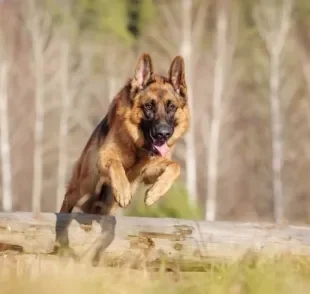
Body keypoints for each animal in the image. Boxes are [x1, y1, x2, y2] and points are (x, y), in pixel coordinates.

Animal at [55, 52, 190, 248]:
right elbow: (116, 164)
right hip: (83, 186)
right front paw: (123, 190)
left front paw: (154, 194)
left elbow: (175, 167)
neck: (138, 148)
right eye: (149, 106)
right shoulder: (105, 156)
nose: (163, 134)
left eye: (171, 107)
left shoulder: (150, 171)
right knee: (67, 202)